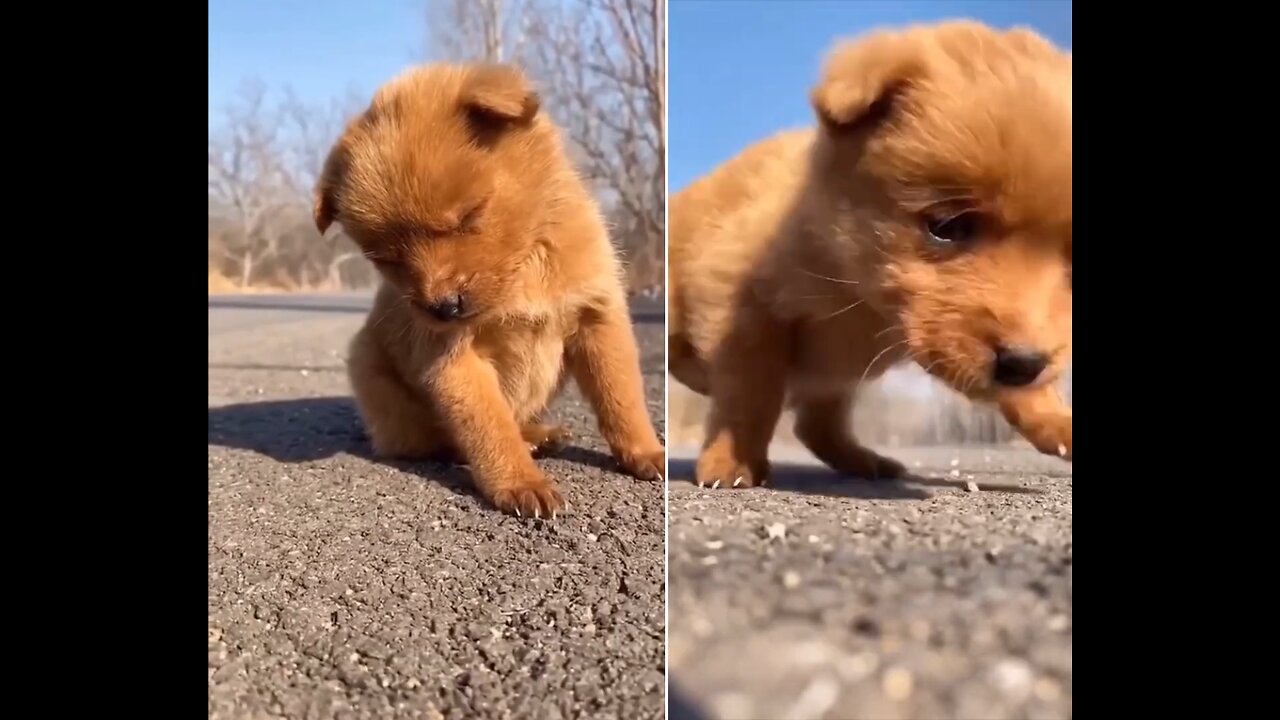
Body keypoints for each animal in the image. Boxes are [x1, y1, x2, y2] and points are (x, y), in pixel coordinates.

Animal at [314, 60, 665, 509]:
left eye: (469, 216)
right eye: (387, 259)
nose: (443, 307)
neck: (526, 268)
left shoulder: (599, 320)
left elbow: (622, 399)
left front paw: (646, 452)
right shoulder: (453, 359)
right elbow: (488, 427)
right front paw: (520, 482)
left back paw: (537, 434)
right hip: (372, 372)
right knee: (434, 441)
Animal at [670, 22, 1070, 484]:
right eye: (947, 227)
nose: (1022, 363)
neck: (862, 296)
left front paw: (1057, 421)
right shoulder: (740, 302)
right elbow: (750, 393)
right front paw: (732, 458)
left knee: (816, 427)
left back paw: (864, 460)